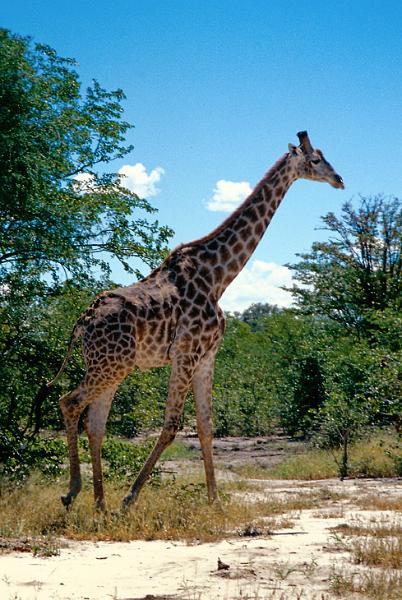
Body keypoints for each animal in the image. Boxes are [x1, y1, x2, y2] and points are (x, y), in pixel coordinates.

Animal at [50, 129, 344, 508]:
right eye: (316, 160)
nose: (339, 180)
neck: (218, 277)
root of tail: (81, 322)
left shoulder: (207, 355)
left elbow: (205, 424)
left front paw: (214, 499)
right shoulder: (186, 352)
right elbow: (172, 424)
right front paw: (130, 498)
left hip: (112, 366)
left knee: (96, 422)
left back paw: (99, 504)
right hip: (110, 365)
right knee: (69, 402)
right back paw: (74, 492)